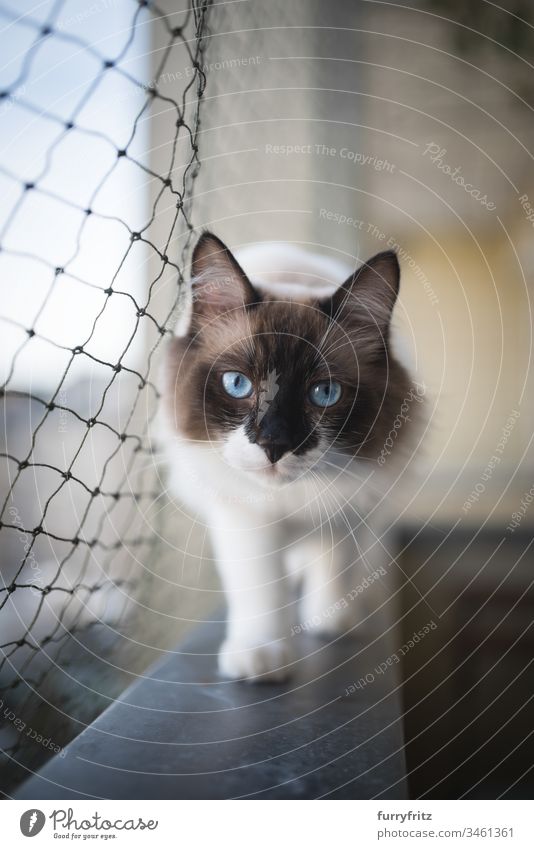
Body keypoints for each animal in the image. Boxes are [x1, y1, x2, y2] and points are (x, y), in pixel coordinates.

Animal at [164, 232, 418, 684]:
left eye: (324, 394)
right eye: (238, 384)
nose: (274, 443)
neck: (292, 500)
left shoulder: (347, 506)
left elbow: (335, 568)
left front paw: (331, 623)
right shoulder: (247, 518)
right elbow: (261, 590)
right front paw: (260, 660)